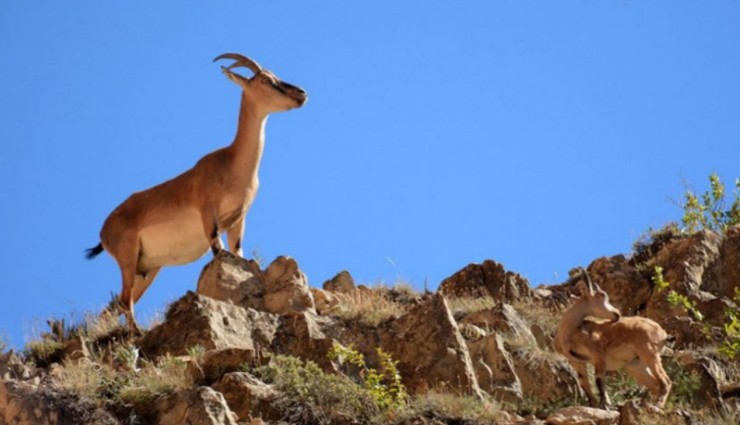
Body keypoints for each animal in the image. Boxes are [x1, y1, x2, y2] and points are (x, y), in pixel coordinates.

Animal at [86, 53, 306, 330]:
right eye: (266, 80)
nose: (301, 93)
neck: (233, 164)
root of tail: (103, 231)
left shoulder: (238, 219)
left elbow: (237, 252)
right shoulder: (207, 213)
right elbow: (218, 251)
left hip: (146, 269)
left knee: (116, 305)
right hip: (127, 258)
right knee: (125, 301)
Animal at [556, 268, 672, 408]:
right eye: (602, 296)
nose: (617, 314)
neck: (569, 333)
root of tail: (663, 333)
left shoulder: (598, 355)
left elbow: (599, 379)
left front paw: (605, 404)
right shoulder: (577, 361)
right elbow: (584, 383)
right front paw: (594, 405)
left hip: (649, 353)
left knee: (665, 381)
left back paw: (657, 405)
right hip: (636, 365)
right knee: (655, 384)